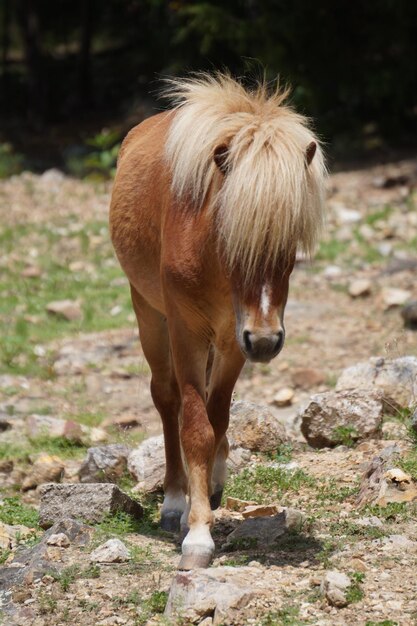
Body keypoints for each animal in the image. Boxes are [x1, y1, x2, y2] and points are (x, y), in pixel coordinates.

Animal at [108, 72, 324, 564]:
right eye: (230, 238)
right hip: (149, 315)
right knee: (166, 400)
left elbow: (218, 417)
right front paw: (197, 533)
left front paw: (211, 491)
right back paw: (174, 501)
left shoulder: (231, 339)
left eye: (289, 248)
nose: (265, 342)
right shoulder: (187, 332)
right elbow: (194, 425)